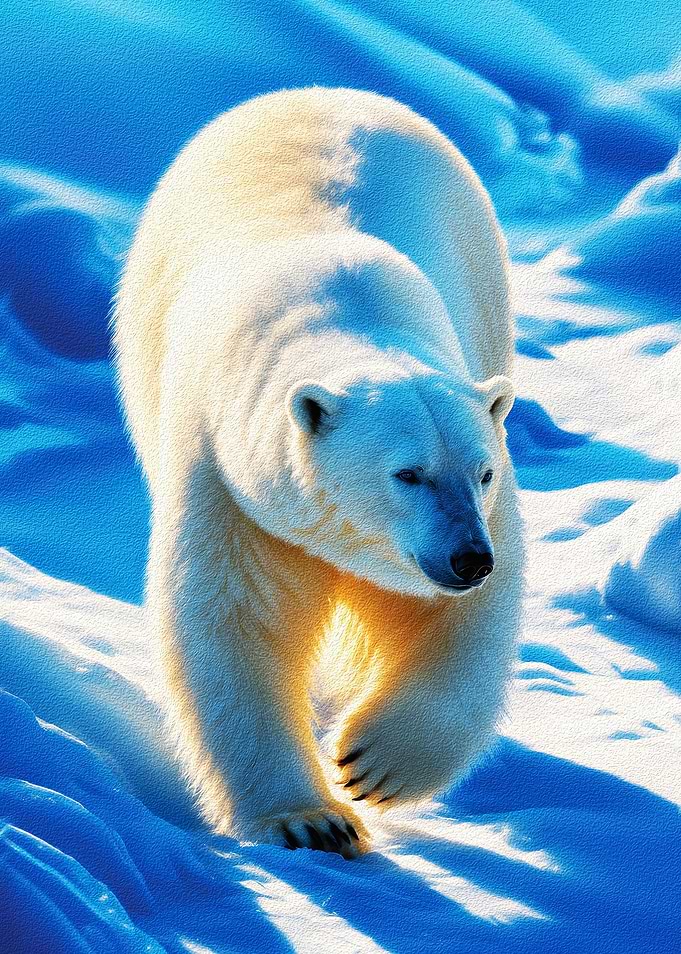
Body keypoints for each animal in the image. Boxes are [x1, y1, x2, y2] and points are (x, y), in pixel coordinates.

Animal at [114, 87, 524, 858]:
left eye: (481, 473)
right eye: (408, 473)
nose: (467, 559)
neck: (343, 311)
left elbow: (469, 623)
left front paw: (371, 763)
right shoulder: (227, 476)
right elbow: (235, 618)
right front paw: (311, 820)